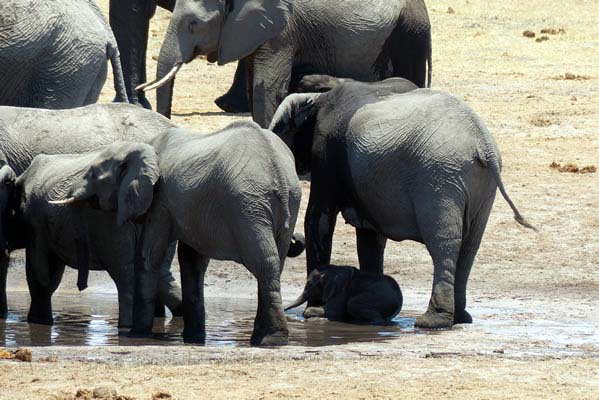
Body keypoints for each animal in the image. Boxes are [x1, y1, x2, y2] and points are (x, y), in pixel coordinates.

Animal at [49, 120, 304, 346]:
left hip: (246, 206)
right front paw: (193, 338)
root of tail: (278, 173)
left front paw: (136, 335)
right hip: (282, 204)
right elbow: (191, 260)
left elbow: (148, 256)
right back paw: (266, 338)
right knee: (274, 265)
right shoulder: (191, 207)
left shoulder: (160, 201)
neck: (141, 147)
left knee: (264, 263)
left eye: (93, 174)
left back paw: (270, 339)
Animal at [268, 79, 536, 330]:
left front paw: (313, 312)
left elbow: (318, 221)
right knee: (470, 245)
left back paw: (432, 322)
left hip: (439, 177)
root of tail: (483, 144)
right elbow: (369, 238)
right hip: (475, 183)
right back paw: (458, 318)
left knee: (444, 243)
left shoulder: (326, 151)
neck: (316, 98)